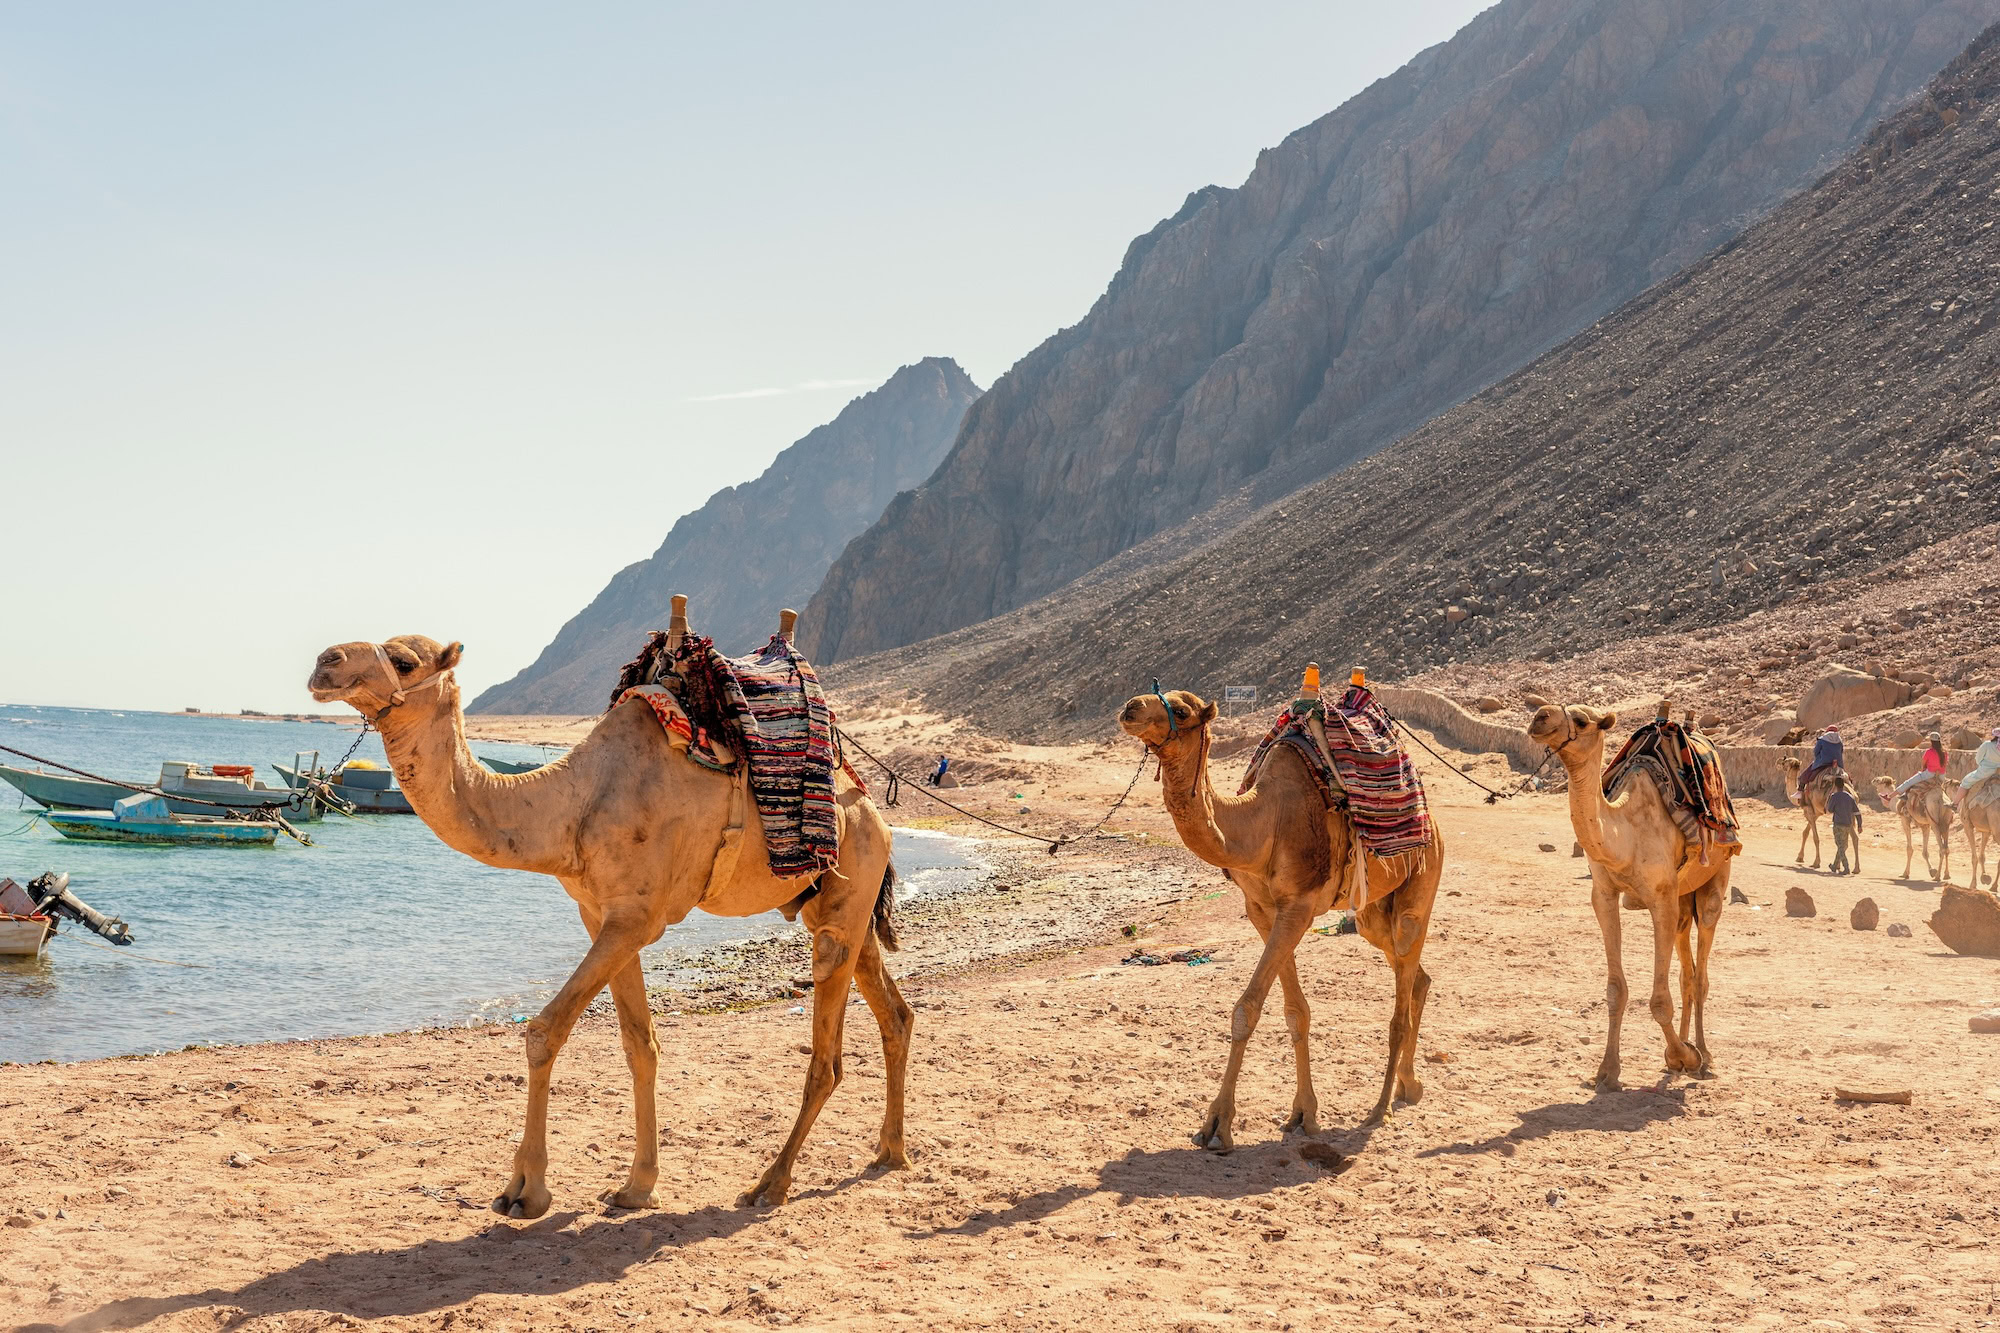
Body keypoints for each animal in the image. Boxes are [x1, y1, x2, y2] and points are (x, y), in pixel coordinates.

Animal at [306, 610, 910, 1218]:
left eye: (404, 660)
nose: (324, 661)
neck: (573, 806)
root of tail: (874, 813)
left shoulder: (637, 918)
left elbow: (544, 1031)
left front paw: (525, 1190)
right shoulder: (600, 914)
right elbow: (640, 1045)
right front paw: (637, 1186)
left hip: (848, 887)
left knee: (827, 1052)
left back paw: (772, 1183)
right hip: (837, 904)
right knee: (894, 1013)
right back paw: (891, 1152)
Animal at [1118, 689, 1445, 1146]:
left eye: (1180, 711)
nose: (1130, 707)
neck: (1260, 823)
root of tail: (1434, 824)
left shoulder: (1299, 906)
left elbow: (1248, 1008)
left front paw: (1218, 1123)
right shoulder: (1263, 911)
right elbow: (1295, 1012)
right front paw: (1303, 1113)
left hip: (1421, 884)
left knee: (1401, 994)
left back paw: (1381, 1108)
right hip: (1371, 914)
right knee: (1416, 975)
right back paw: (1408, 1086)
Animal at [1526, 705, 1732, 1088]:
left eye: (1581, 720)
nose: (1540, 717)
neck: (1625, 833)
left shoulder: (1661, 899)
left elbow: (1659, 1001)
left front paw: (1684, 1056)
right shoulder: (1604, 896)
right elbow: (1616, 990)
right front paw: (1607, 1071)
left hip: (1714, 880)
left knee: (1701, 973)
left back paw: (1704, 1055)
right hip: (1683, 901)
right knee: (1687, 972)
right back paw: (1684, 1049)